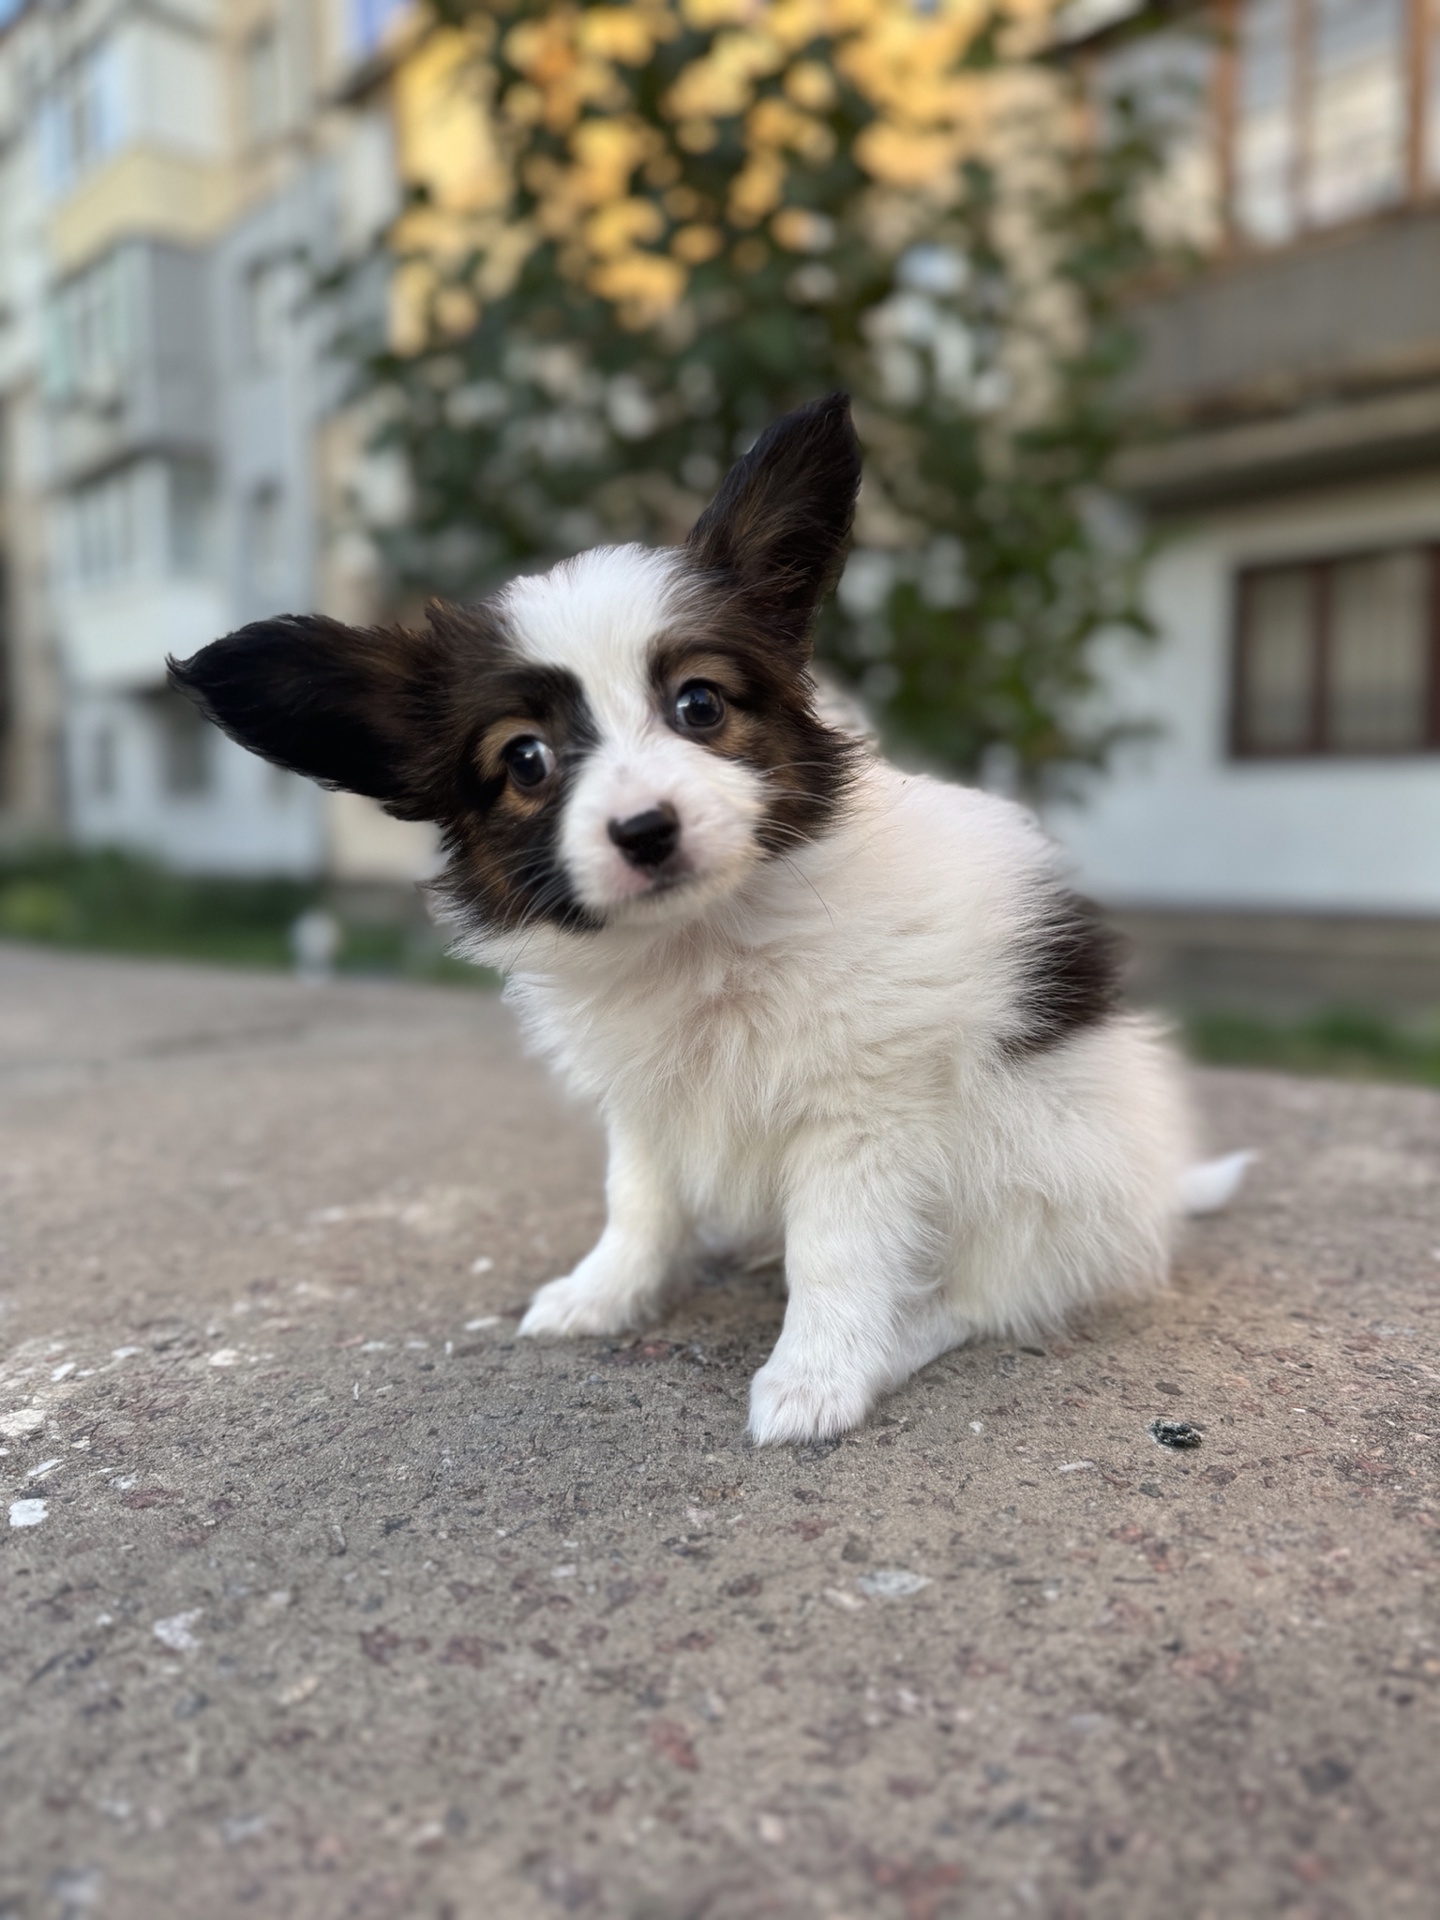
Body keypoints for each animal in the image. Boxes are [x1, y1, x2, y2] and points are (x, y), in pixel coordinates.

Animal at [168, 393, 1236, 1443]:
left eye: (699, 705)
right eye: (525, 761)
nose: (645, 829)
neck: (704, 940)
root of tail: (1158, 1191)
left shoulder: (863, 1118)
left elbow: (838, 1254)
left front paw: (817, 1376)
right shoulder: (646, 1104)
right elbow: (639, 1205)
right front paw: (605, 1294)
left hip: (1036, 1169)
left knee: (984, 1294)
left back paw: (902, 1336)